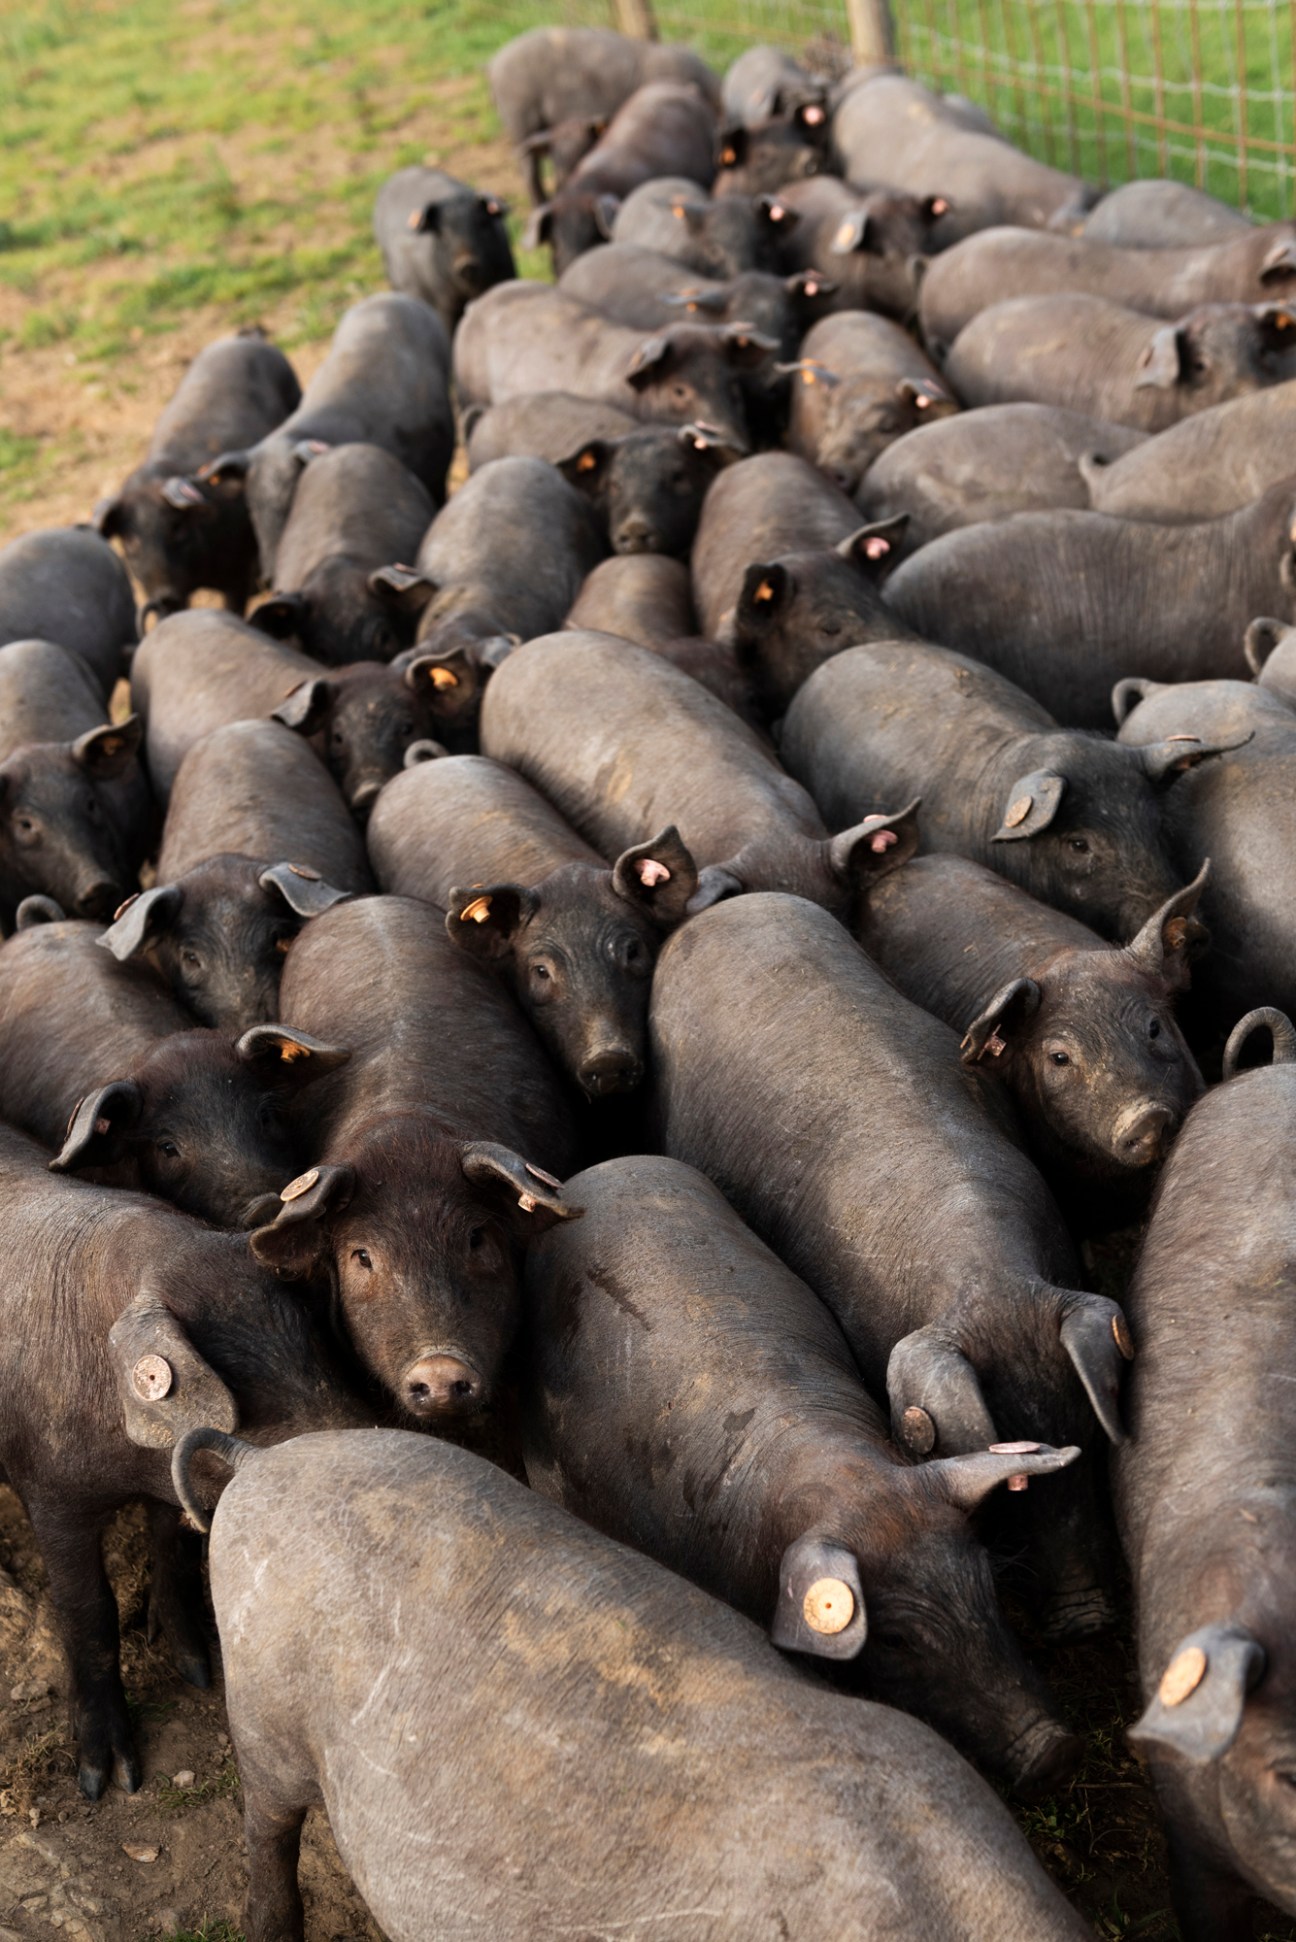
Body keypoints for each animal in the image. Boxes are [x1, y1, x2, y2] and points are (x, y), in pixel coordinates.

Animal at [0, 1121, 370, 1797]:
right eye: (241, 1386)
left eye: (308, 1341)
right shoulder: (49, 1492)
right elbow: (88, 1610)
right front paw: (109, 1781)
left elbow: (171, 1553)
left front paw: (199, 1672)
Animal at [92, 331, 301, 622]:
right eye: (131, 541)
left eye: (176, 528)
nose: (164, 595)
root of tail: (245, 337)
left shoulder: (235, 571)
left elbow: (233, 605)